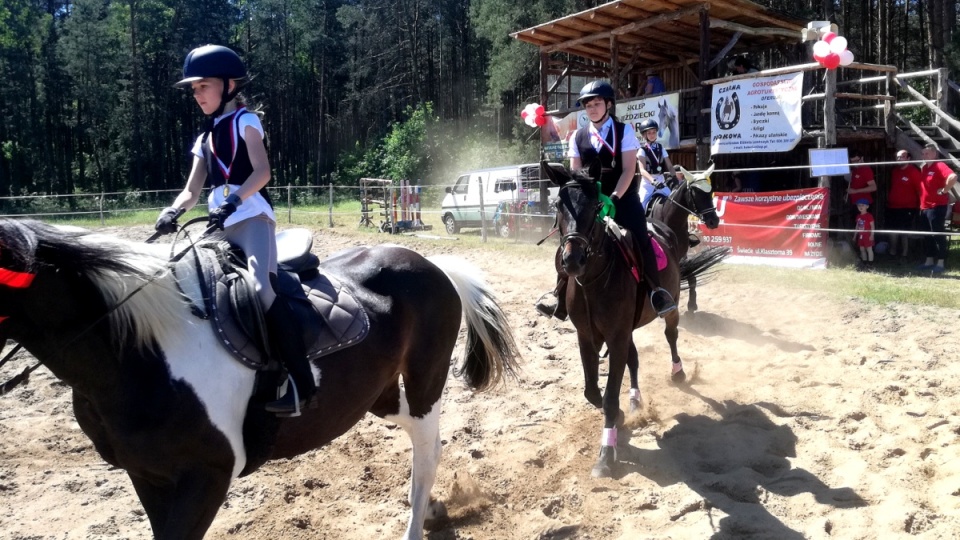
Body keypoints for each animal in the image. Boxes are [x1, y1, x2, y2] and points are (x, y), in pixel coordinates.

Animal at [0, 219, 520, 540]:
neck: (138, 348)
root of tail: (434, 267)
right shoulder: (146, 475)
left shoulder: (206, 477)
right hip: (380, 396)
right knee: (422, 441)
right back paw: (430, 509)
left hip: (424, 382)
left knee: (427, 450)